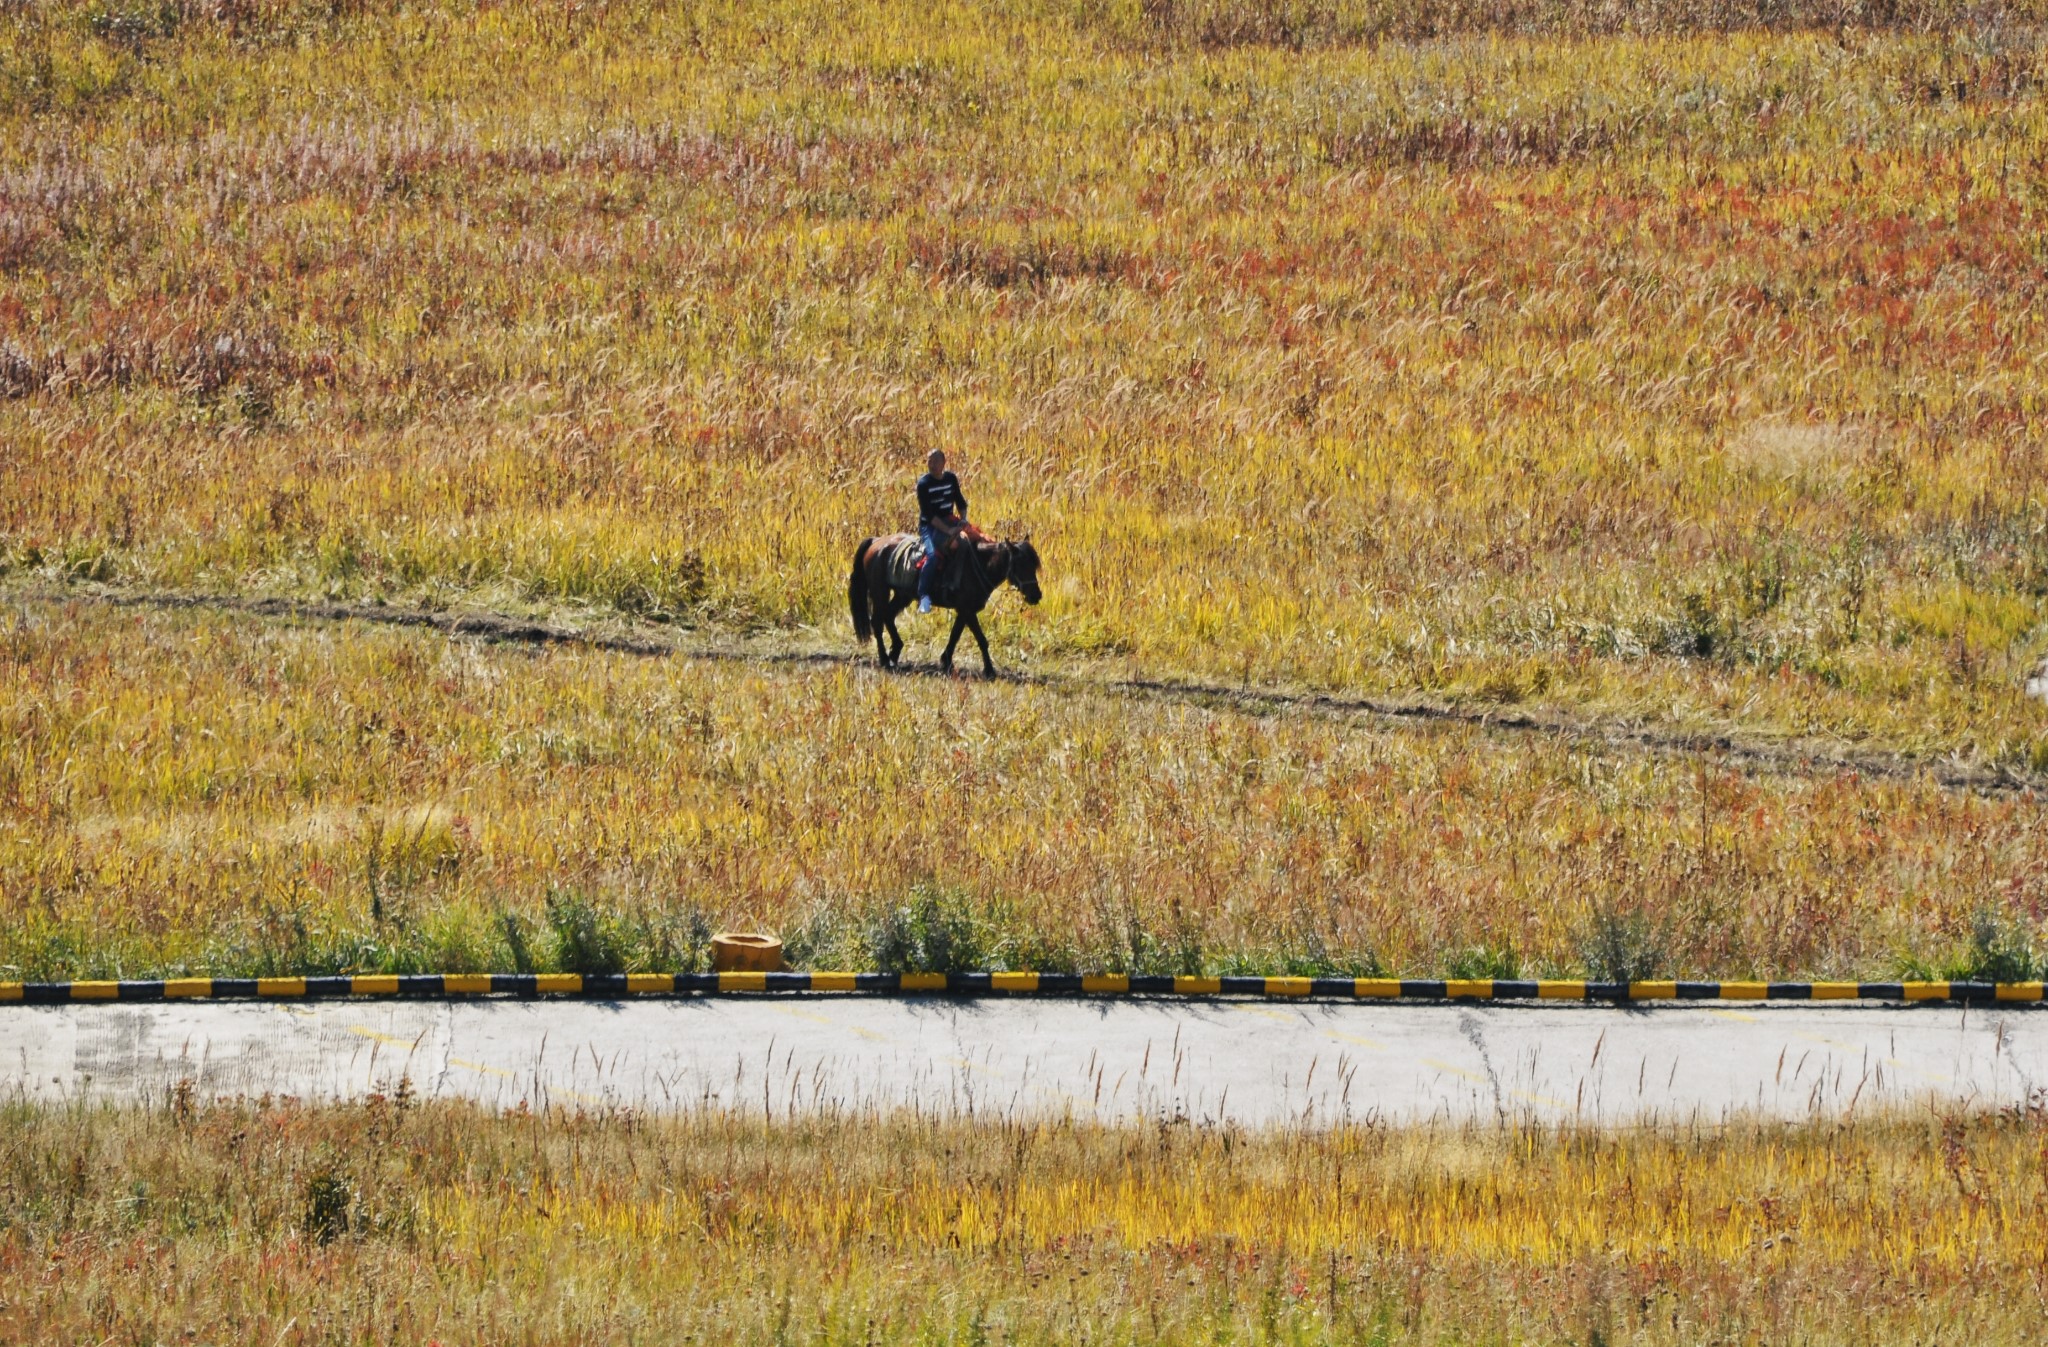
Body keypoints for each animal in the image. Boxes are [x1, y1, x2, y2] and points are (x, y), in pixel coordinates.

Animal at [843, 528, 1040, 667]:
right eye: (1020, 564)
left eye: (1033, 565)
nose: (1036, 595)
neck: (979, 565)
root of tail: (875, 541)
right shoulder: (967, 610)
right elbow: (981, 639)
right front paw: (989, 670)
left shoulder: (965, 610)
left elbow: (955, 635)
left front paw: (946, 661)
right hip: (880, 591)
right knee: (877, 621)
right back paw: (885, 659)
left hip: (902, 595)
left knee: (888, 617)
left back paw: (895, 652)